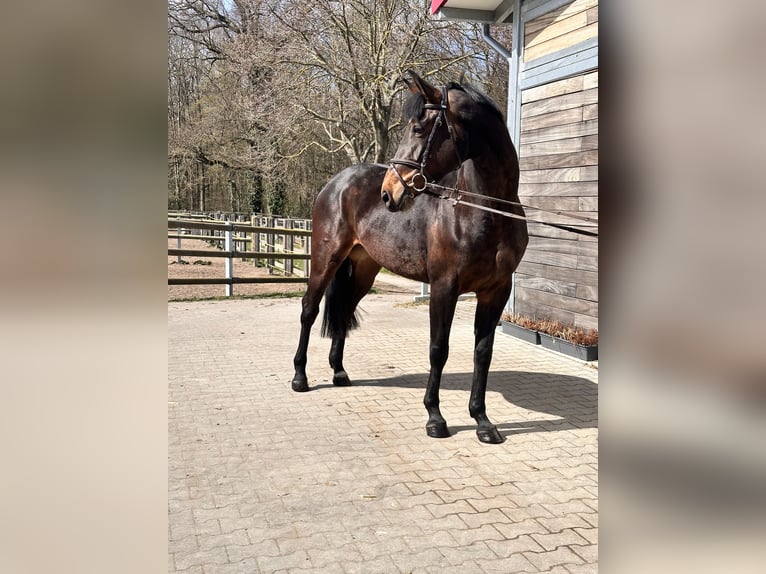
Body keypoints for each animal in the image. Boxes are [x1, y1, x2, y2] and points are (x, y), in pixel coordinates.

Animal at [291, 70, 528, 443]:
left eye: (418, 129)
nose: (390, 193)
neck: (485, 211)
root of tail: (337, 183)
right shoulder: (444, 287)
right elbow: (438, 349)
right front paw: (435, 418)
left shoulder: (496, 291)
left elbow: (483, 352)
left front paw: (482, 421)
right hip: (325, 259)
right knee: (309, 310)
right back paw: (300, 378)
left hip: (364, 269)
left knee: (343, 311)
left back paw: (340, 373)